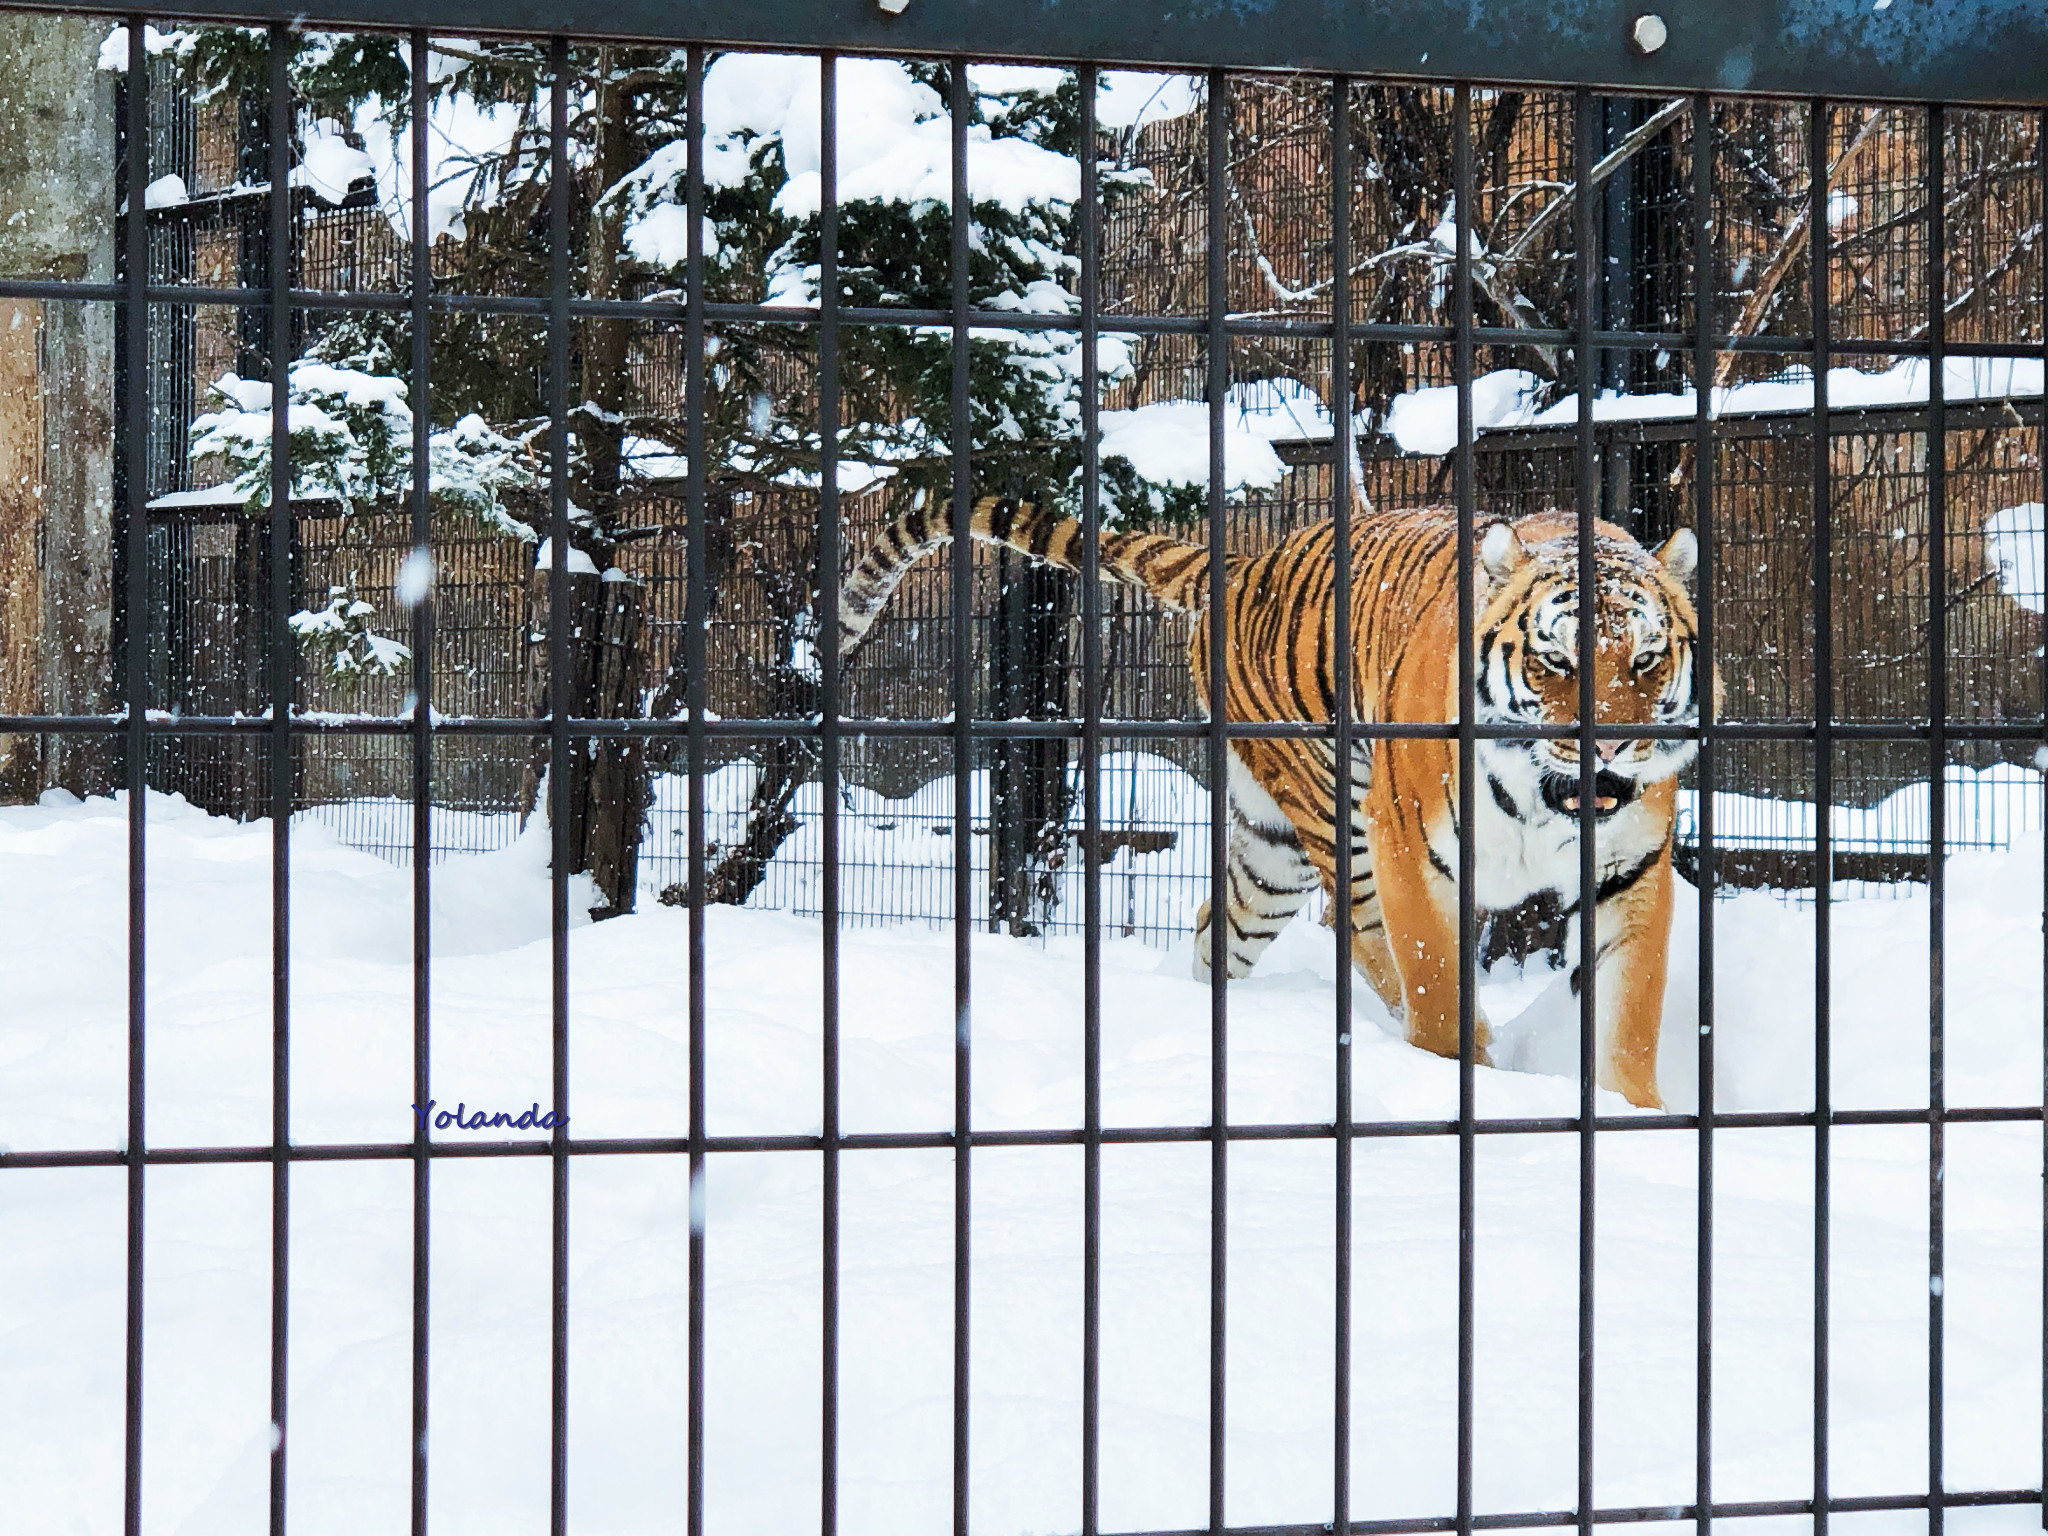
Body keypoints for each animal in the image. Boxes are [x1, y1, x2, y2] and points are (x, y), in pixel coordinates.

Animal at [839, 493, 1703, 1105]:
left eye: (1647, 658)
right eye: (1555, 661)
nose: (1610, 748)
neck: (1543, 797)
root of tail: (1247, 561)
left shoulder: (1629, 871)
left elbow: (1627, 1011)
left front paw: (1633, 1116)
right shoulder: (1411, 850)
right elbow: (1433, 981)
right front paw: (1460, 1077)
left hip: (1270, 853)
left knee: (1217, 924)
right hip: (1336, 816)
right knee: (1361, 932)